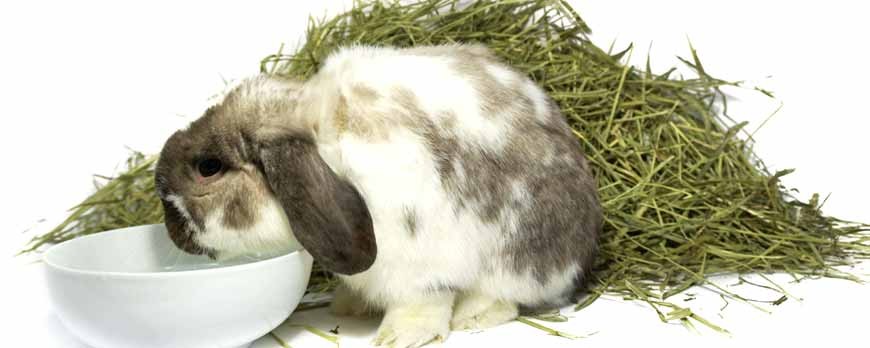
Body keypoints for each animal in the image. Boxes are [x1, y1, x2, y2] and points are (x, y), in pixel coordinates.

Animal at [155, 44, 600, 348]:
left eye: (208, 166)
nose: (169, 224)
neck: (323, 139)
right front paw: (347, 305)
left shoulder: (421, 267)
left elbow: (423, 304)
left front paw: (399, 337)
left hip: (516, 261)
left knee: (507, 297)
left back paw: (473, 315)